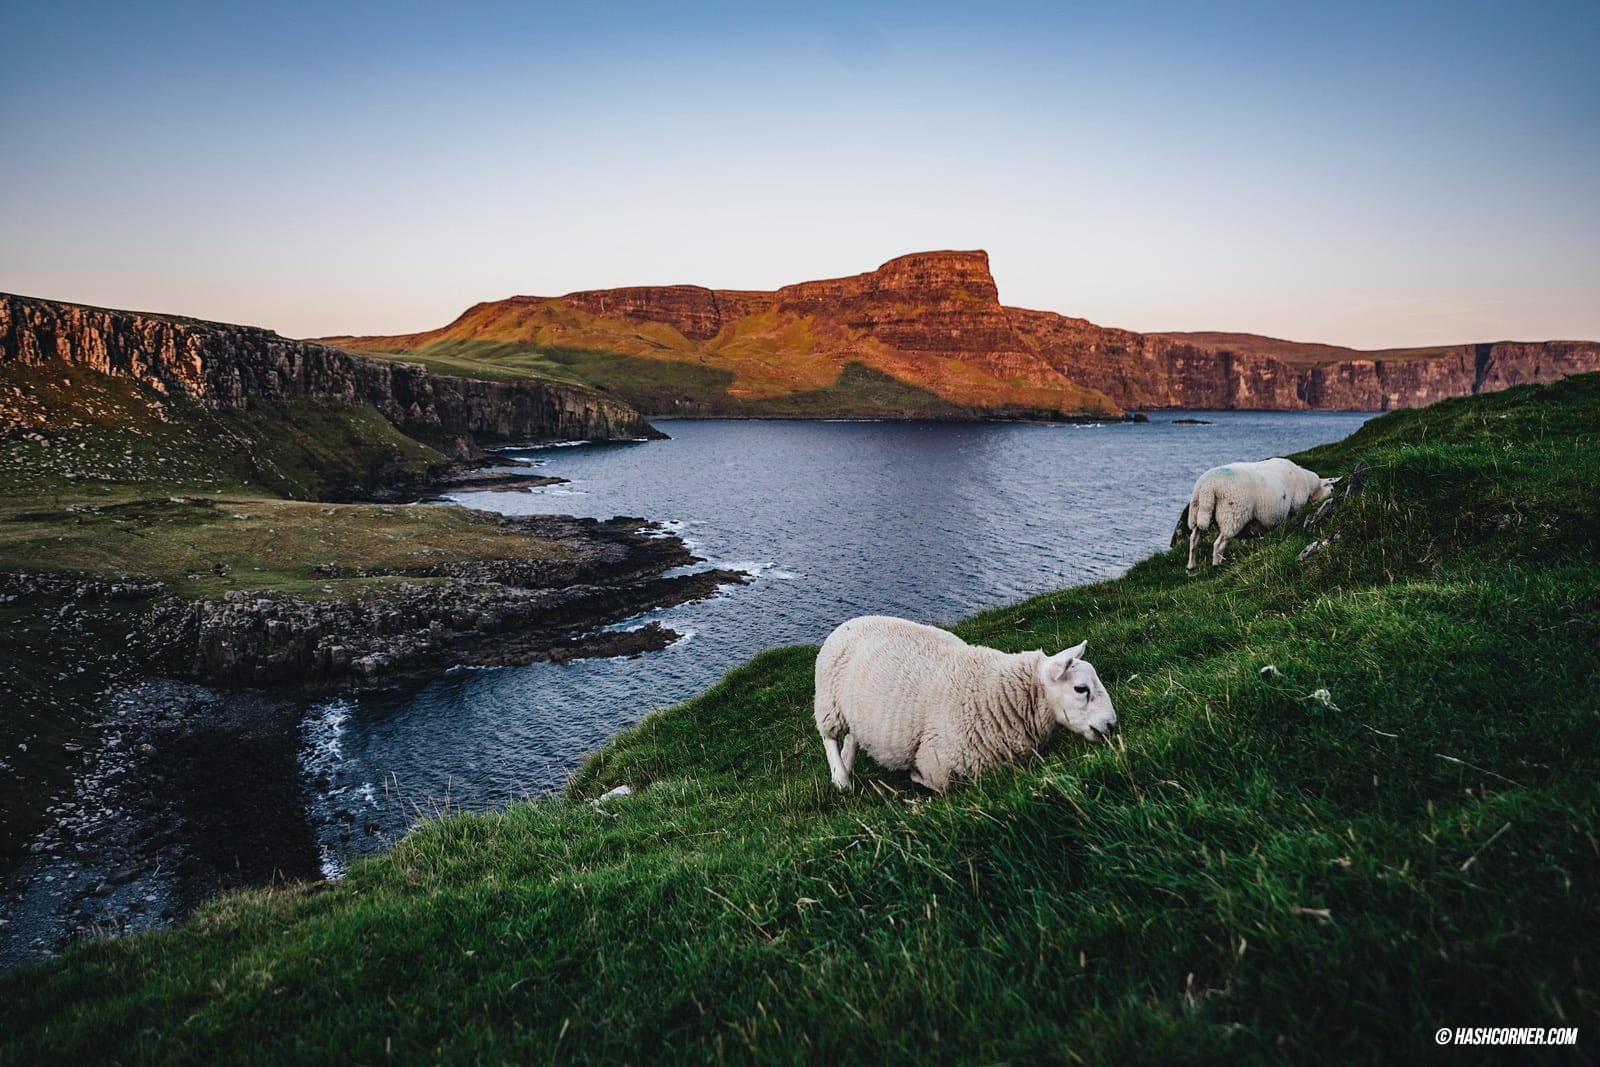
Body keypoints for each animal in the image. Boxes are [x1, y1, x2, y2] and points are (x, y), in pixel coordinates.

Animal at [812, 617, 1113, 793]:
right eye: (1081, 689)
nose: (1111, 725)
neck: (997, 691)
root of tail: (849, 621)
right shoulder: (938, 758)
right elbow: (941, 784)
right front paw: (915, 776)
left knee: (853, 736)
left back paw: (847, 766)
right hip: (829, 703)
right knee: (829, 738)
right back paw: (841, 779)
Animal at [1190, 460, 1337, 575]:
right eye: (1332, 489)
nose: (1333, 494)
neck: (1309, 482)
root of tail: (1208, 487)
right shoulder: (1296, 507)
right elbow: (1294, 520)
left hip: (1196, 511)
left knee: (1194, 539)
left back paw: (1191, 567)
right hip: (1232, 516)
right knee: (1218, 544)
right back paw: (1217, 565)